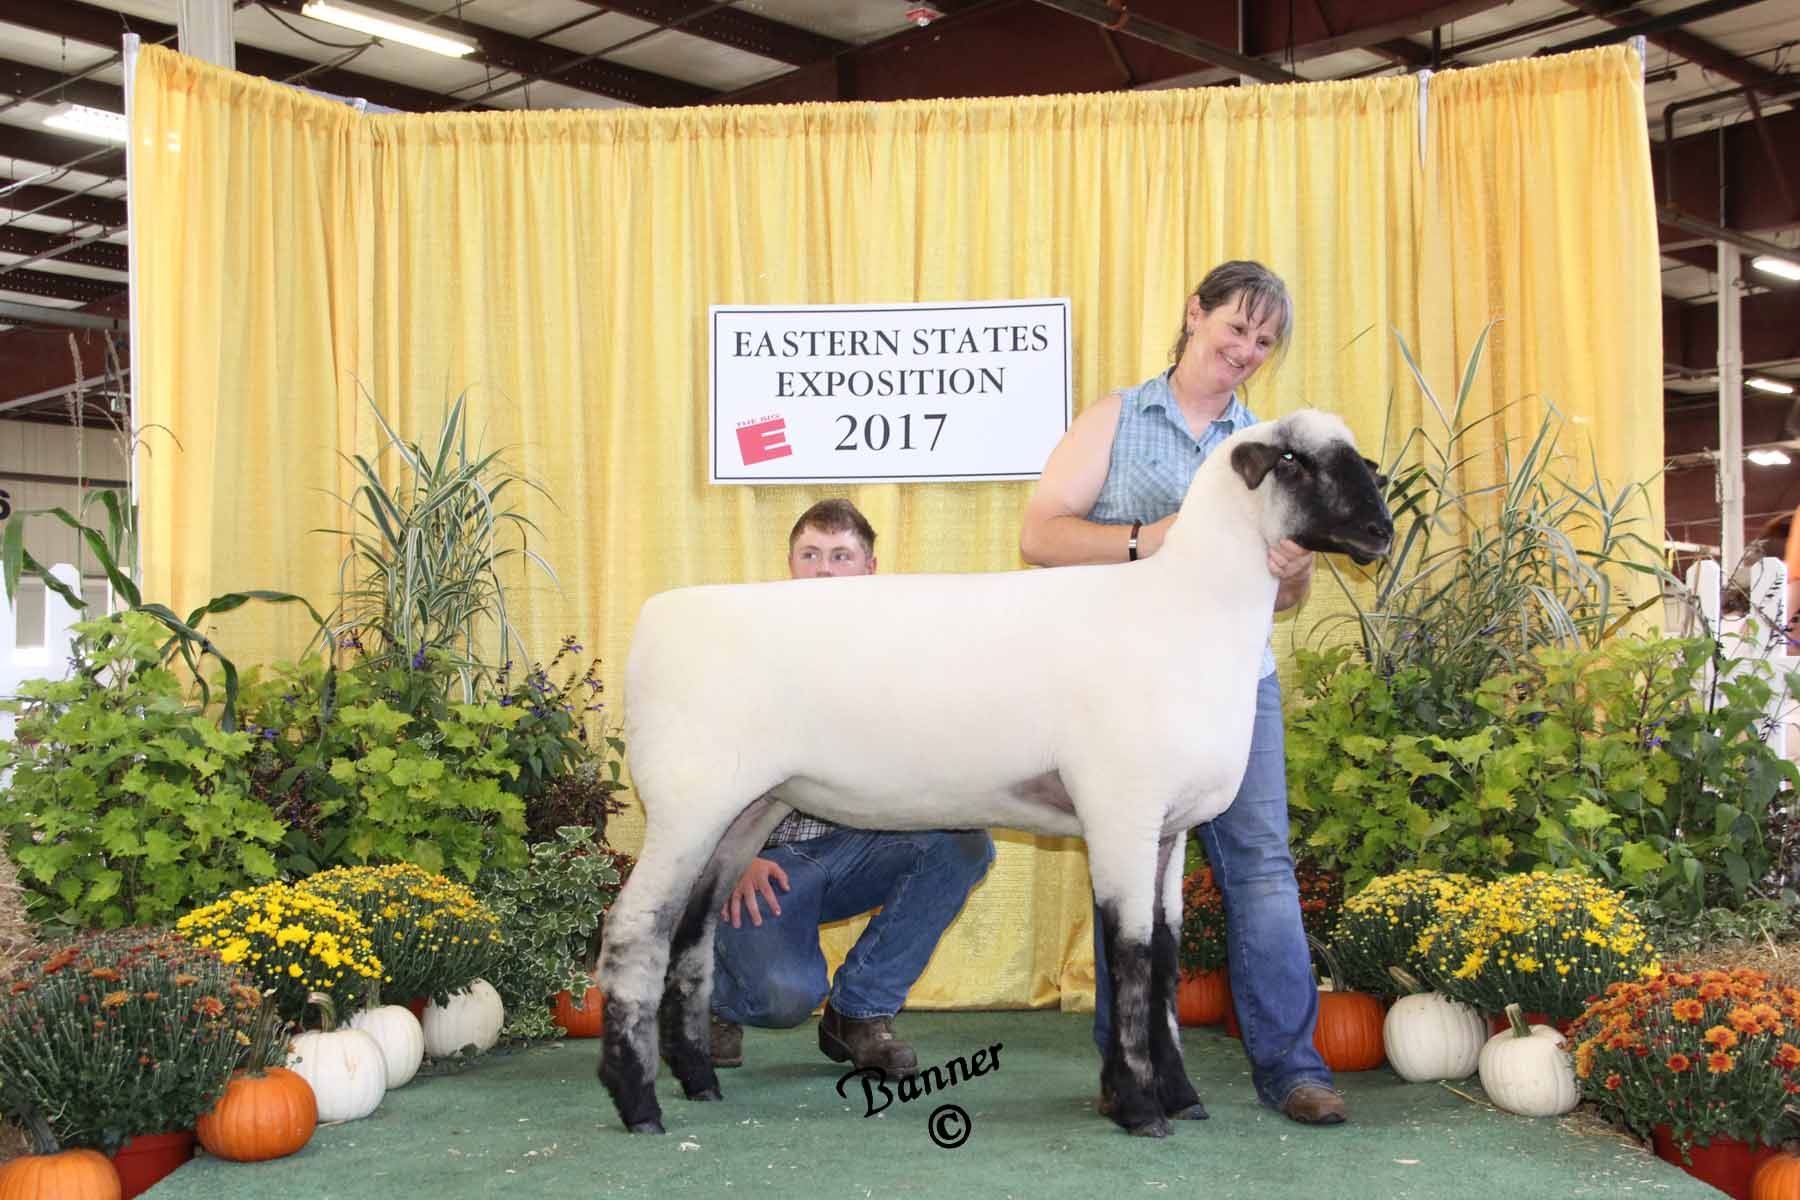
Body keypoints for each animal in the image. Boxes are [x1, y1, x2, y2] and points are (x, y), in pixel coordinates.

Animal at [597, 408, 1394, 1138]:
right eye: (1293, 461)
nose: (1381, 532)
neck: (1192, 612)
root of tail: (657, 621)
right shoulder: (1122, 810)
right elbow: (1133, 958)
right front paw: (1140, 1107)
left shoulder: (1171, 829)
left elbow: (1166, 960)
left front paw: (1178, 1096)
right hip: (687, 800)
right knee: (635, 929)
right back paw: (638, 1103)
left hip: (745, 810)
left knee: (690, 933)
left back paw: (697, 1080)